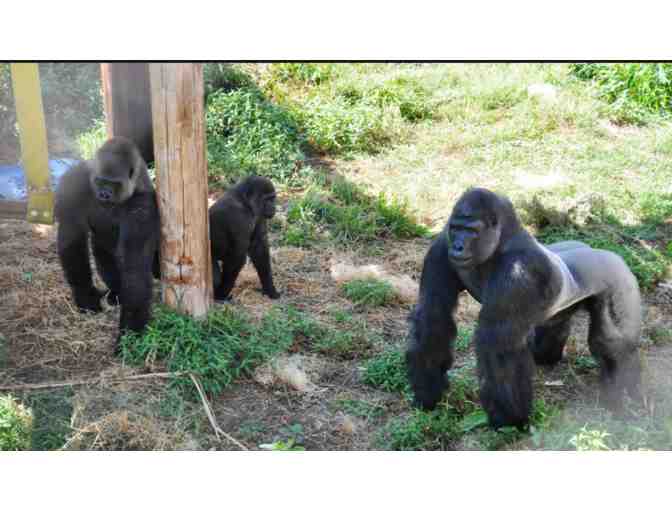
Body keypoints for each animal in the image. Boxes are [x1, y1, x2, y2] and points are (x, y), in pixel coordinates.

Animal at [55, 137, 160, 348]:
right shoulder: (74, 180)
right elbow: (72, 239)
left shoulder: (143, 208)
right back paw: (116, 292)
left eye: (114, 184)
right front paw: (85, 295)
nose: (104, 194)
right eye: (100, 181)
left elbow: (135, 268)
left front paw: (129, 337)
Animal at [406, 187, 644, 430]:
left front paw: (509, 421)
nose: (457, 246)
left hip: (619, 277)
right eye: (455, 228)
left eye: (471, 231)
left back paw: (626, 392)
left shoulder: (519, 269)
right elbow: (434, 315)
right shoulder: (440, 249)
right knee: (552, 333)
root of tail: (609, 254)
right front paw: (428, 392)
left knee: (612, 341)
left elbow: (496, 343)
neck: (502, 241)